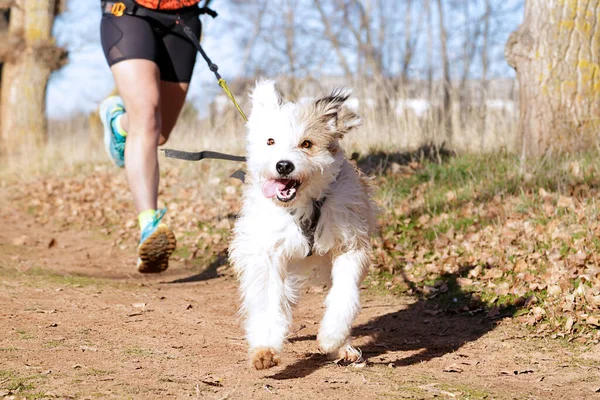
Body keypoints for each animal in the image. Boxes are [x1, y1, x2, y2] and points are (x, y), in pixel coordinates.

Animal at [229, 81, 376, 372]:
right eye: (271, 141)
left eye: (306, 143)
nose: (284, 165)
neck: (304, 205)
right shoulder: (268, 251)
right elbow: (268, 301)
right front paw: (265, 348)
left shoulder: (349, 243)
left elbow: (345, 293)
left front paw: (332, 336)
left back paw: (343, 348)